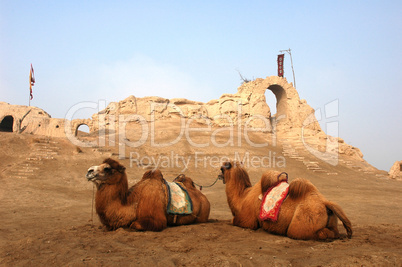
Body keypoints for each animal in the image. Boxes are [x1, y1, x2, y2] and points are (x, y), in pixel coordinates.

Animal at [218, 162, 354, 242]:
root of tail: (326, 203)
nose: (219, 175)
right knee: (334, 231)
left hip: (299, 226)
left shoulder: (247, 220)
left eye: (222, 168)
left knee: (315, 233)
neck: (243, 196)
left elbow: (233, 220)